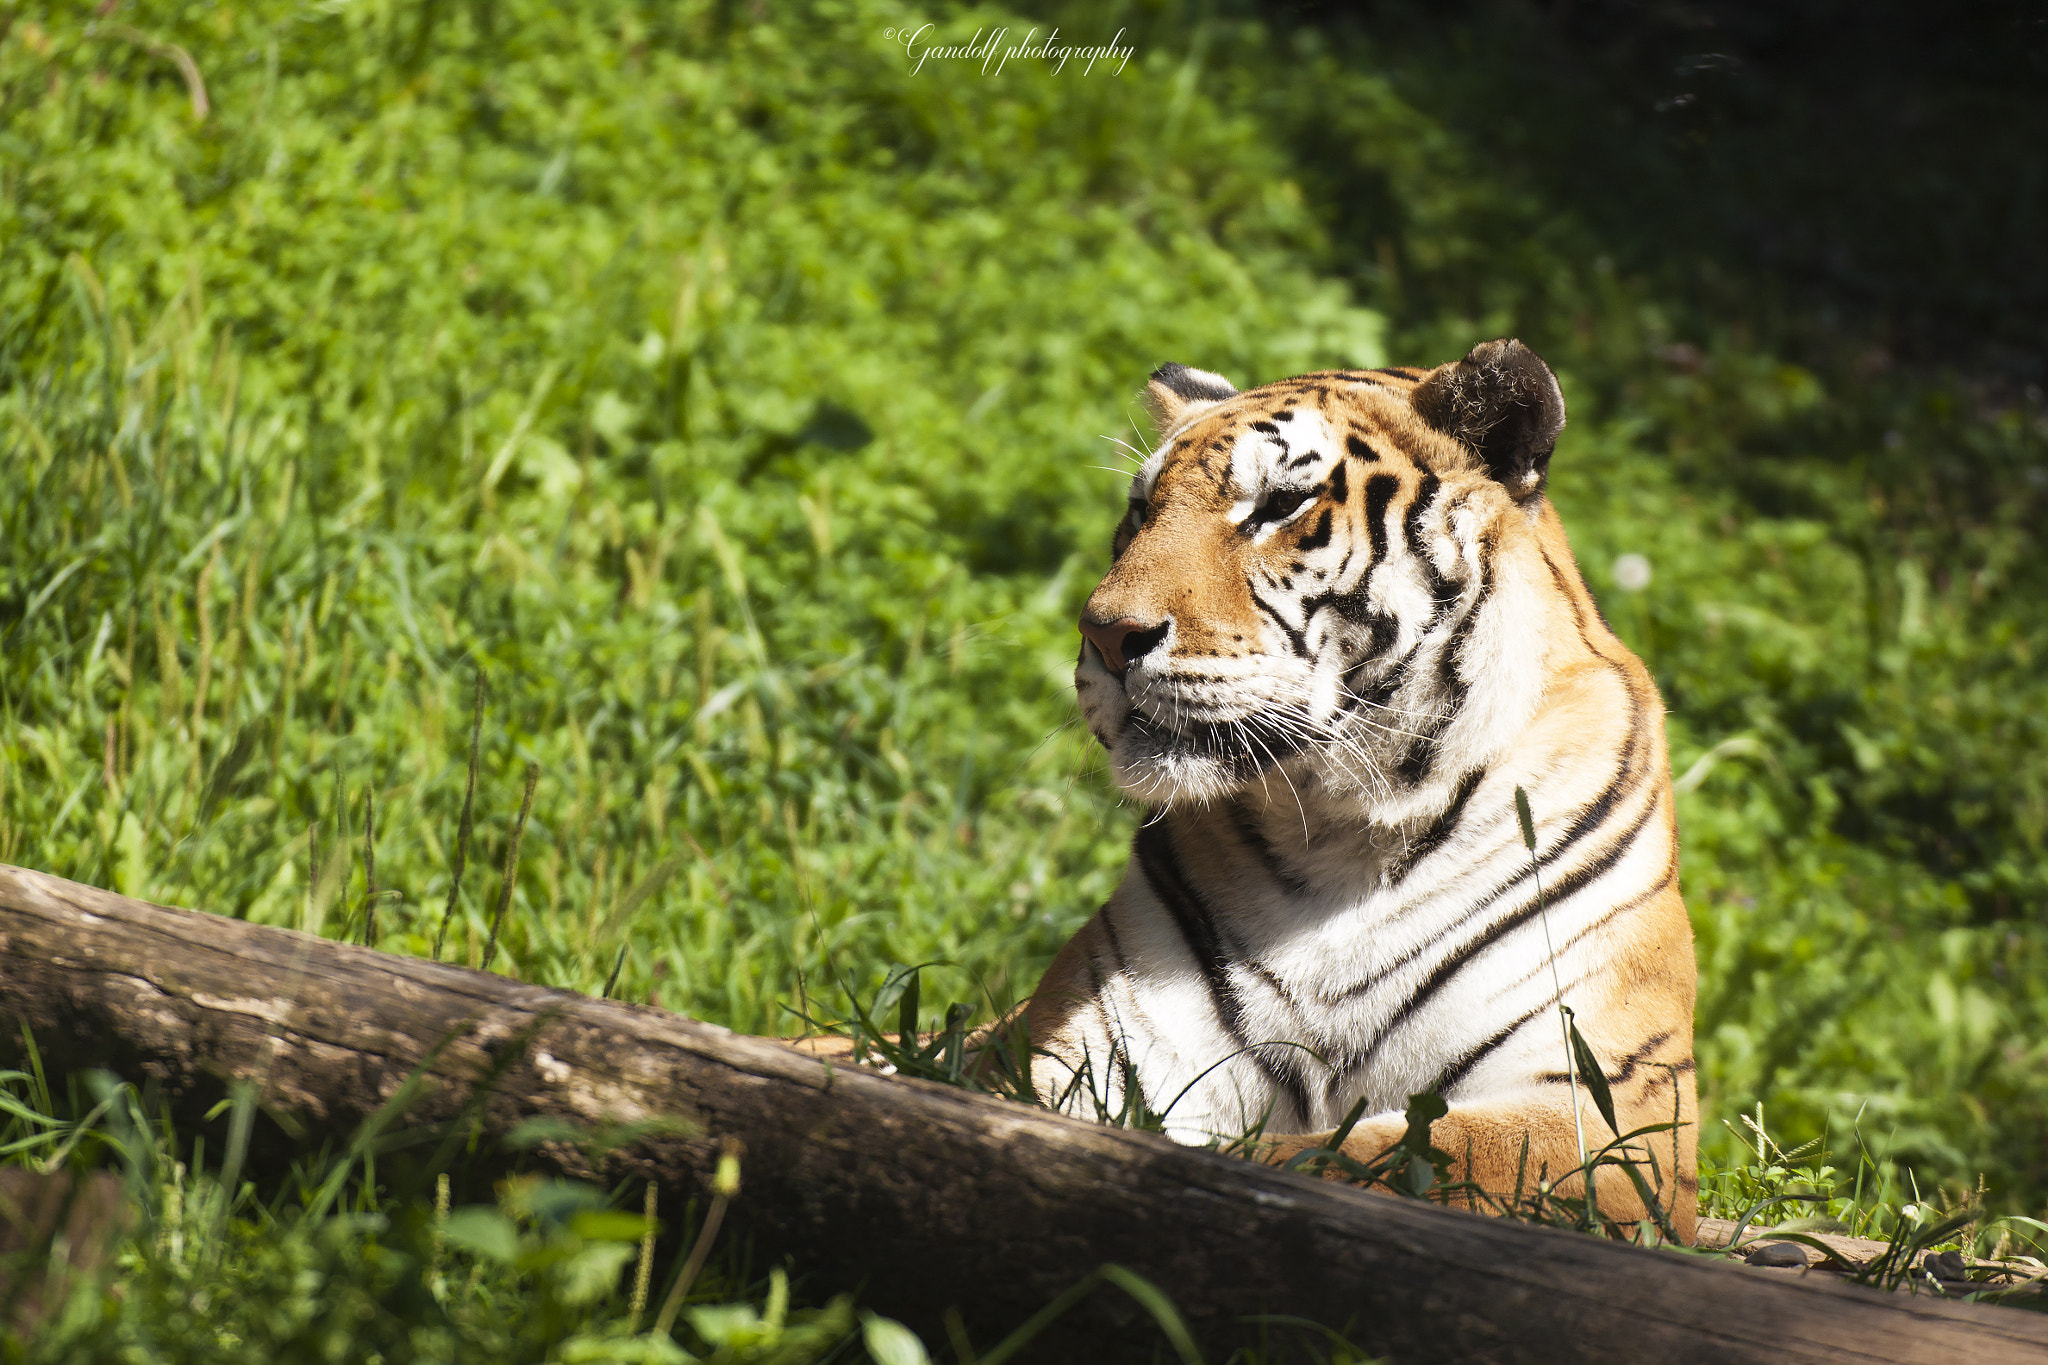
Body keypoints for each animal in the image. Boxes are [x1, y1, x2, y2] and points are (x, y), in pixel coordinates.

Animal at [1024, 339, 1699, 1239]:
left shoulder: (1612, 1117)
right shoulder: (1093, 1045)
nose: (1103, 634)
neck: (1342, 827)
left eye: (1279, 504)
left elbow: (1369, 1153)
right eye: (1140, 512)